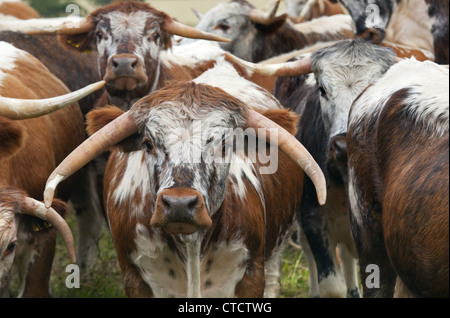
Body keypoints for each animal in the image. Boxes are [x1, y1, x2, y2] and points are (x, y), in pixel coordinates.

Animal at [42, 59, 326, 298]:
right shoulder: (134, 276)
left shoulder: (253, 274)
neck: (191, 245)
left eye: (224, 144)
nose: (179, 204)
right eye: (148, 143)